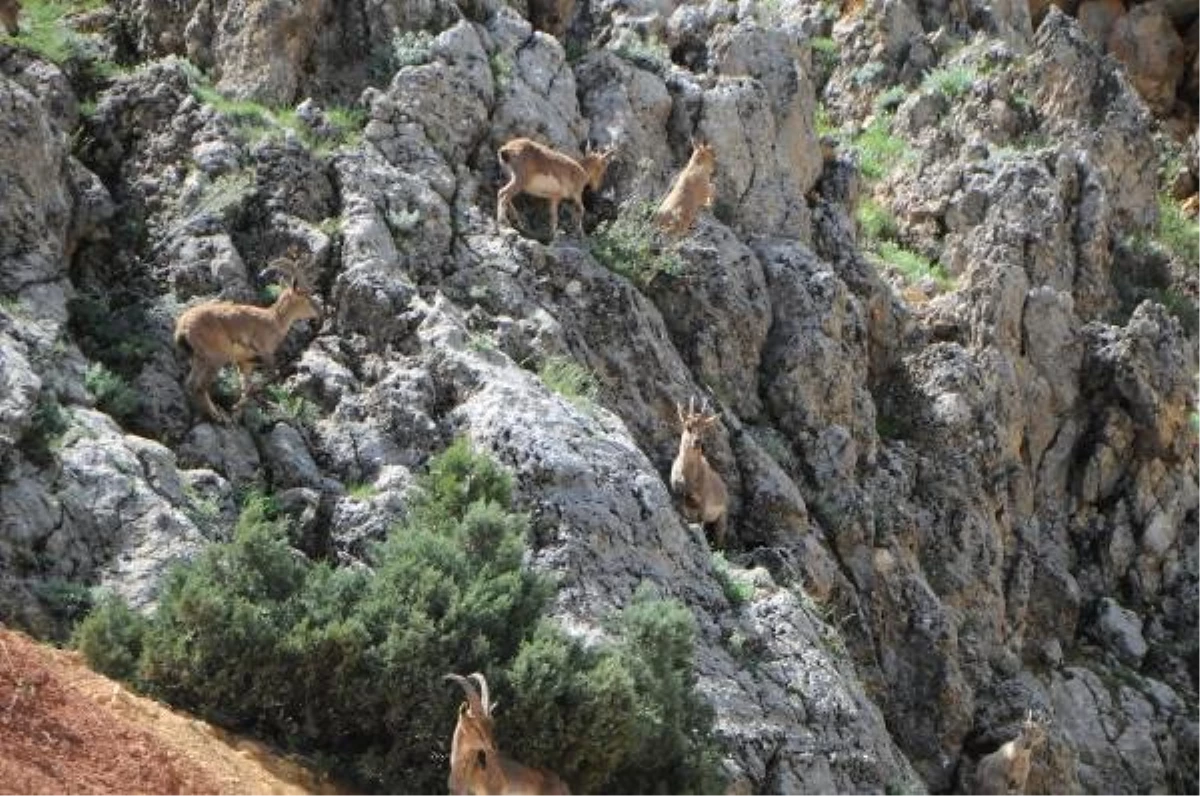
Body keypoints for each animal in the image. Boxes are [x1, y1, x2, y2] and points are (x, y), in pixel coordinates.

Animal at [171, 256, 319, 427]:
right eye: (305, 294)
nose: (319, 312)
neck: (274, 320)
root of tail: (183, 326)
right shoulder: (265, 352)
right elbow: (270, 376)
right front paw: (236, 408)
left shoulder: (245, 362)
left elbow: (246, 387)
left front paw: (237, 413)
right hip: (216, 357)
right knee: (199, 386)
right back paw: (217, 417)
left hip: (199, 358)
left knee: (191, 384)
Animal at [667, 398, 729, 547]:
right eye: (688, 426)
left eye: (705, 429)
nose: (697, 442)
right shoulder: (679, 496)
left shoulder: (703, 505)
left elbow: (700, 524)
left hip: (722, 517)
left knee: (719, 540)